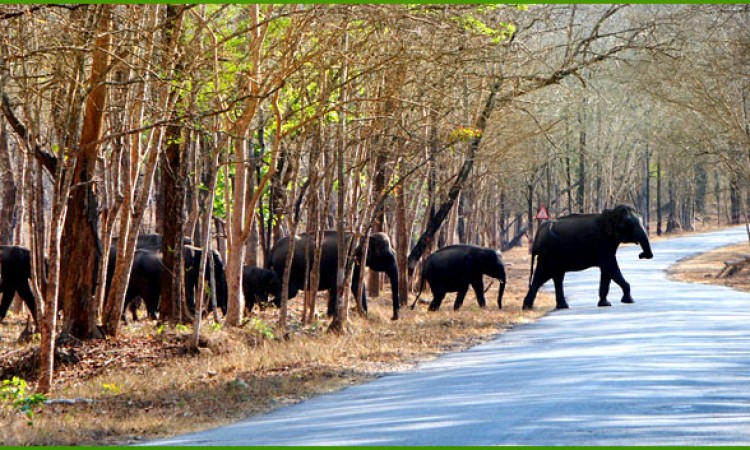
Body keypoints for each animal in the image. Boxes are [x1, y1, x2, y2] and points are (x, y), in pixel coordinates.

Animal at [269, 231, 400, 320]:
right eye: (388, 256)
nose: (393, 318)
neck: (365, 236)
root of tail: (273, 249)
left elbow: (357, 284)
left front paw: (364, 314)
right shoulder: (345, 260)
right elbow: (337, 285)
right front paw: (331, 316)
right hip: (287, 269)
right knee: (288, 292)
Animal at [522, 204, 654, 310]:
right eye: (628, 224)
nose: (641, 255)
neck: (610, 213)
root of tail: (538, 235)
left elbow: (607, 271)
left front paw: (605, 304)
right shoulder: (602, 243)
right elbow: (610, 267)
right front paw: (629, 301)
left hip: (547, 255)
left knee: (543, 277)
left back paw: (529, 307)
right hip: (552, 253)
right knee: (554, 276)